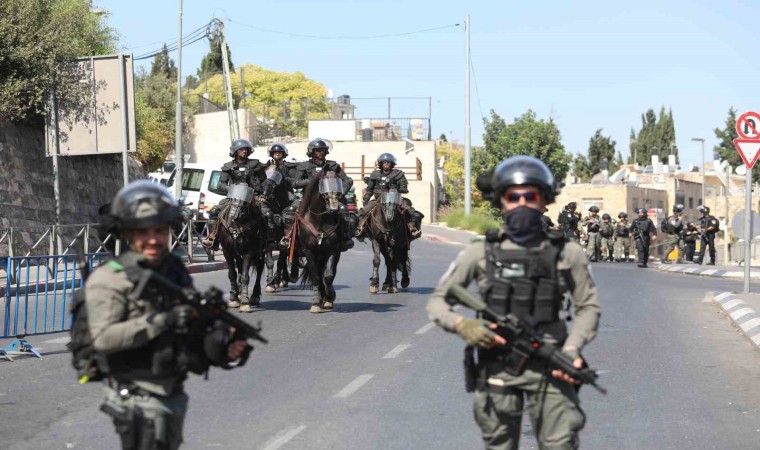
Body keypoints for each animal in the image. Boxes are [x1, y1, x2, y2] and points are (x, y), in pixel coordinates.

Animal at [296, 171, 346, 312]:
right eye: (324, 185)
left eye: (338, 183)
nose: (335, 208)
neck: (319, 221)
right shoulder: (309, 251)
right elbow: (316, 277)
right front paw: (316, 302)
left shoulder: (334, 250)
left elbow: (328, 276)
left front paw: (329, 297)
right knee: (318, 273)